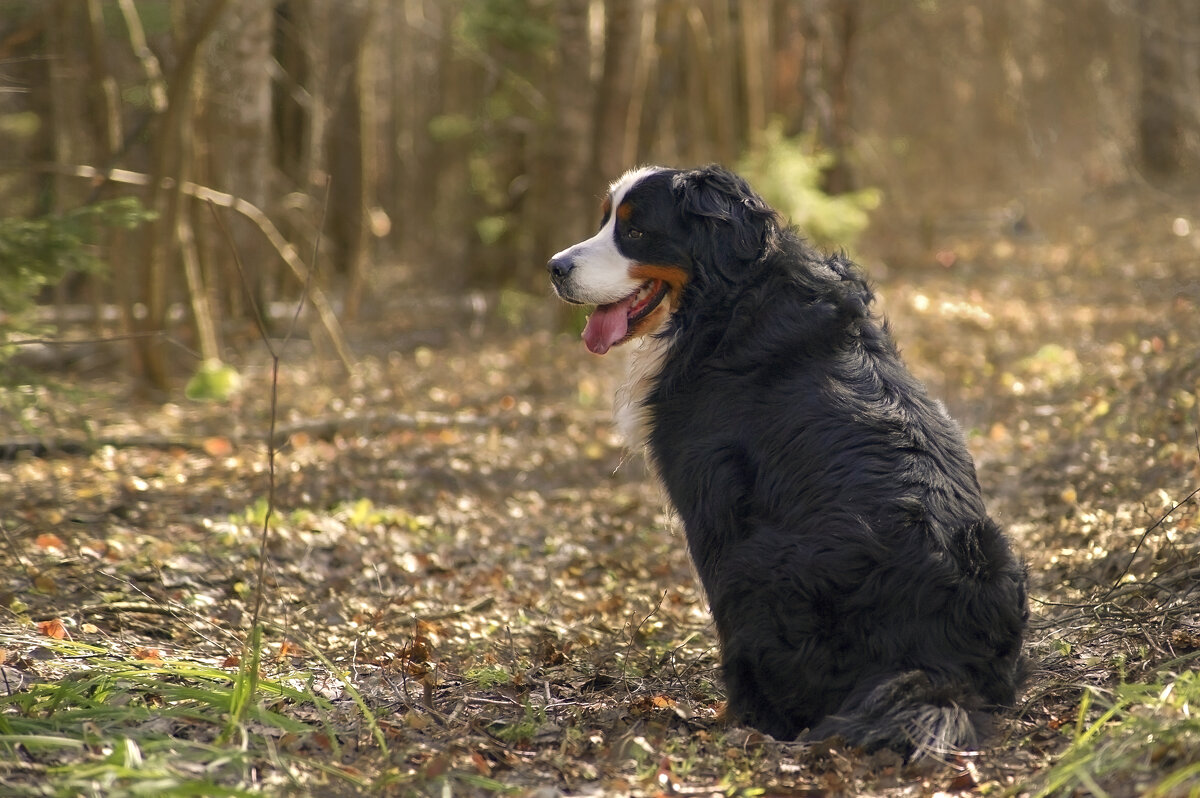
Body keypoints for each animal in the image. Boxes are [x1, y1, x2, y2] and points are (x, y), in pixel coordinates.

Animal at [549, 164, 1027, 758]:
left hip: (755, 567)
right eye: (605, 221)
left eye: (635, 232)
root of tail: (938, 668)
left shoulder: (712, 504)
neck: (728, 304)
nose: (554, 268)